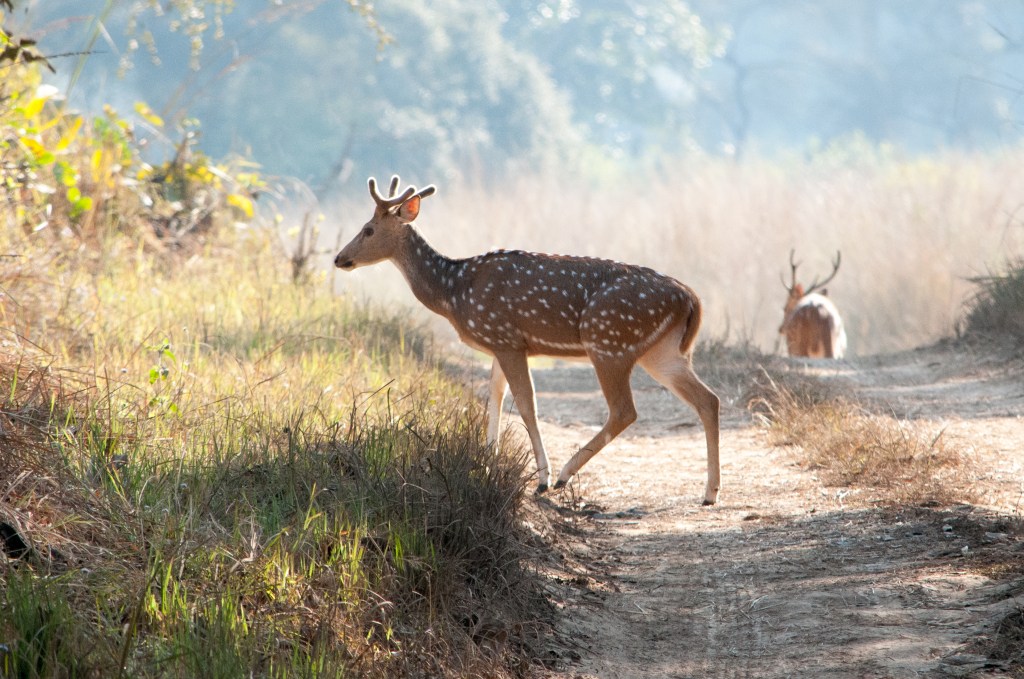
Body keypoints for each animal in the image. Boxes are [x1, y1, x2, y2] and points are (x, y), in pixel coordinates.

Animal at [333, 176, 721, 505]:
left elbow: (525, 403)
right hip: (662, 352)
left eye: (368, 229)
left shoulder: (507, 338)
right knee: (709, 399)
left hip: (609, 342)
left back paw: (564, 475)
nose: (339, 258)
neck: (454, 291)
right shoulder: (497, 342)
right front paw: (486, 461)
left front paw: (541, 478)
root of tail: (691, 299)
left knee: (625, 410)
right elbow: (494, 395)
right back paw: (710, 492)